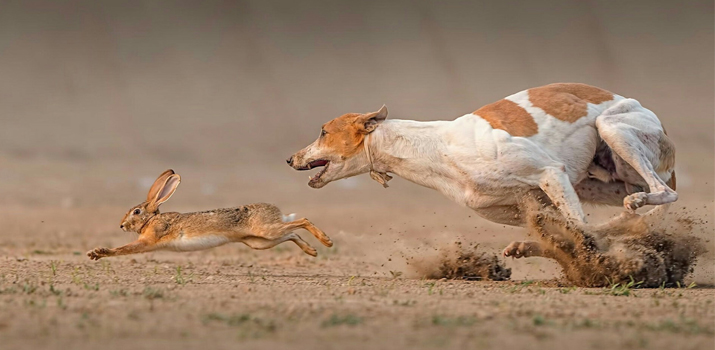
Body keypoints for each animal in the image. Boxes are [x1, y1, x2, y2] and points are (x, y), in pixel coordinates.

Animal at [286, 82, 676, 258]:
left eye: (323, 131)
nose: (290, 159)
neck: (437, 147)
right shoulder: (527, 204)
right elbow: (568, 231)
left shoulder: (550, 172)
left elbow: (579, 229)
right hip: (597, 183)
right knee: (621, 217)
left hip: (614, 130)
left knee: (664, 193)